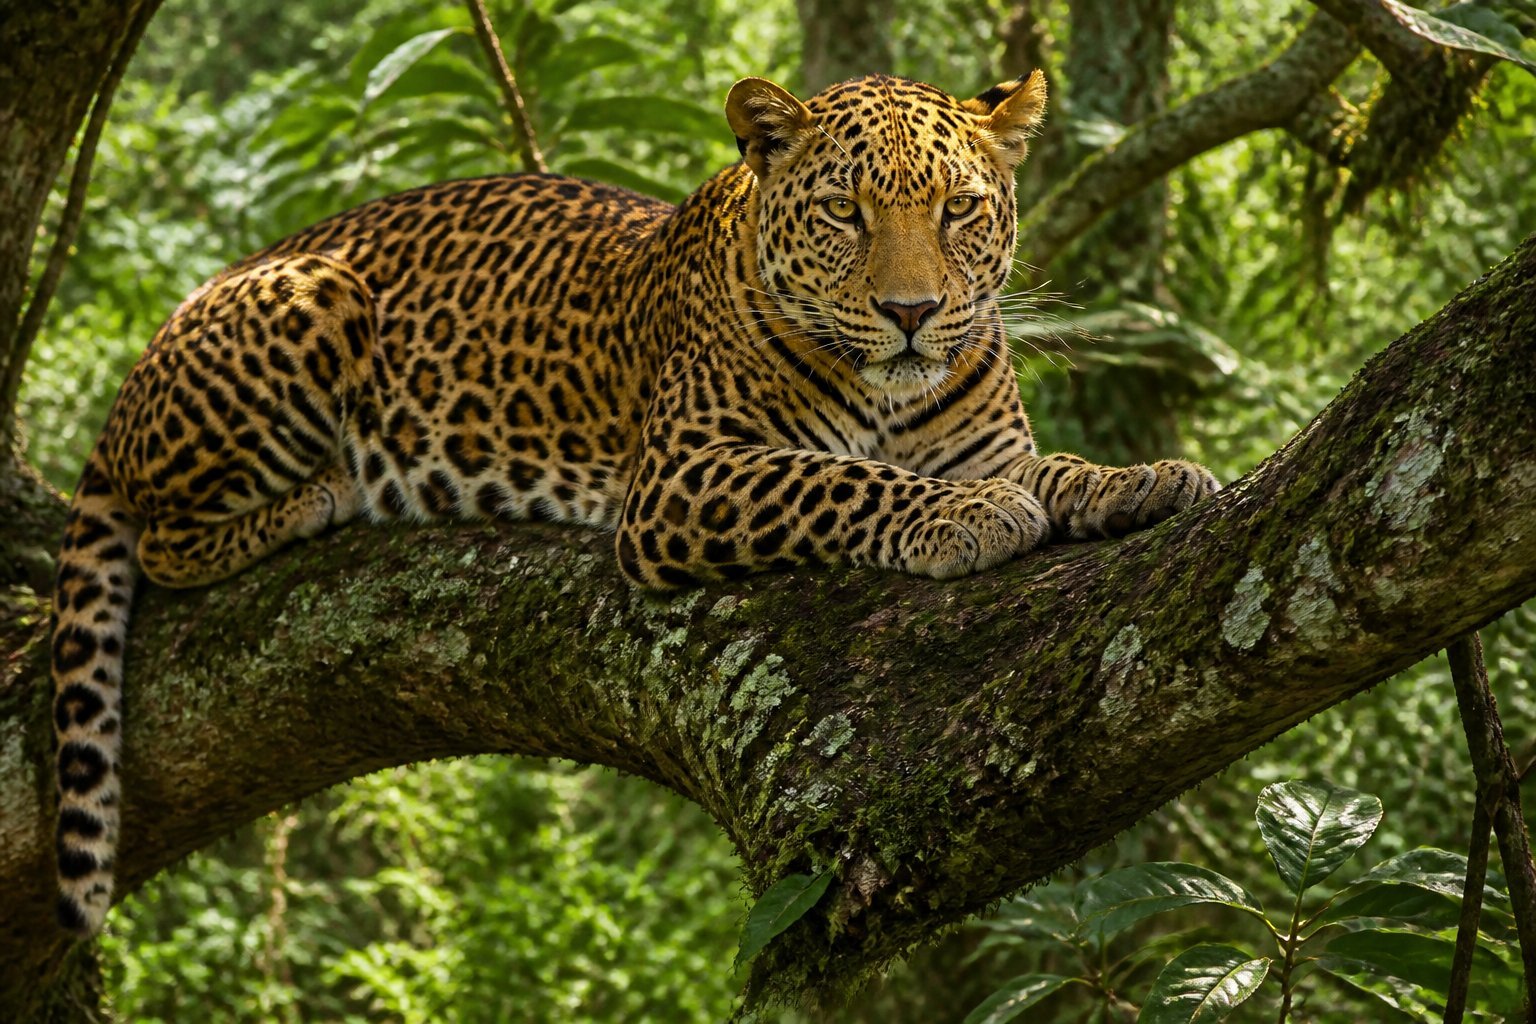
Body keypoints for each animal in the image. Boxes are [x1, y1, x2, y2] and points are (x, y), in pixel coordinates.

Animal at [50, 69, 1218, 936]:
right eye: (845, 212)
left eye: (959, 210)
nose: (913, 312)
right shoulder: (685, 475)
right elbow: (844, 477)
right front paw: (961, 516)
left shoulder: (991, 446)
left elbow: (1048, 470)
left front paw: (1145, 478)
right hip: (313, 296)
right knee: (162, 541)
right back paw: (328, 491)